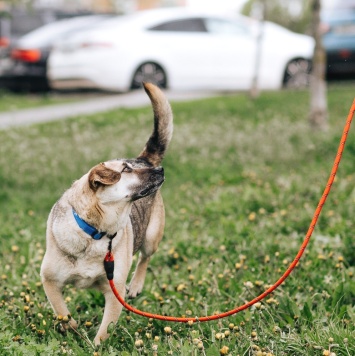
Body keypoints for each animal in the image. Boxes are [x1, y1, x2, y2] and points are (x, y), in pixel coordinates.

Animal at [40, 83, 174, 344]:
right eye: (125, 170)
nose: (160, 170)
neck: (95, 232)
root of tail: (143, 157)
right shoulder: (50, 281)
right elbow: (63, 313)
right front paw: (72, 331)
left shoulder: (115, 290)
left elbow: (103, 331)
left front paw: (94, 346)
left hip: (151, 236)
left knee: (145, 257)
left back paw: (136, 285)